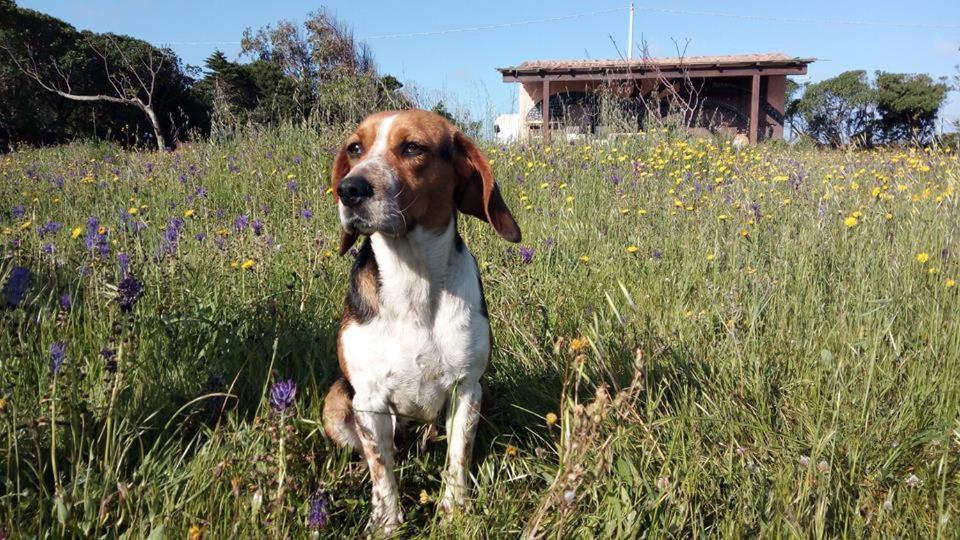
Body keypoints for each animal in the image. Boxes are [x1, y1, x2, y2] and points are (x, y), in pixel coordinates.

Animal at [320, 108, 516, 532]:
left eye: (412, 148)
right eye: (355, 148)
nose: (349, 189)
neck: (413, 278)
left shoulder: (467, 389)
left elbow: (458, 457)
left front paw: (454, 512)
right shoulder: (369, 399)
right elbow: (381, 467)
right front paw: (386, 523)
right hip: (336, 401)